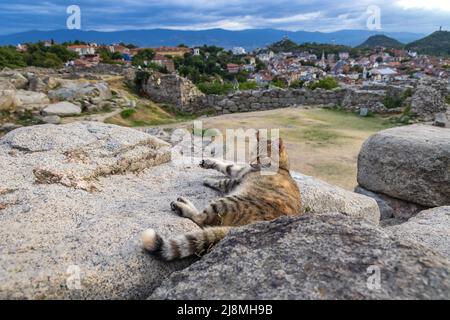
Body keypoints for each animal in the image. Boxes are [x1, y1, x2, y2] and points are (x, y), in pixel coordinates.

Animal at [142, 136, 300, 262]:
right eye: (251, 153)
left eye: (260, 156)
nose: (251, 162)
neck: (284, 167)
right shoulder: (239, 171)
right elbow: (228, 166)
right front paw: (209, 163)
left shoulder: (237, 180)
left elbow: (223, 180)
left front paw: (208, 179)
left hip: (228, 202)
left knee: (201, 219)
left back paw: (183, 205)